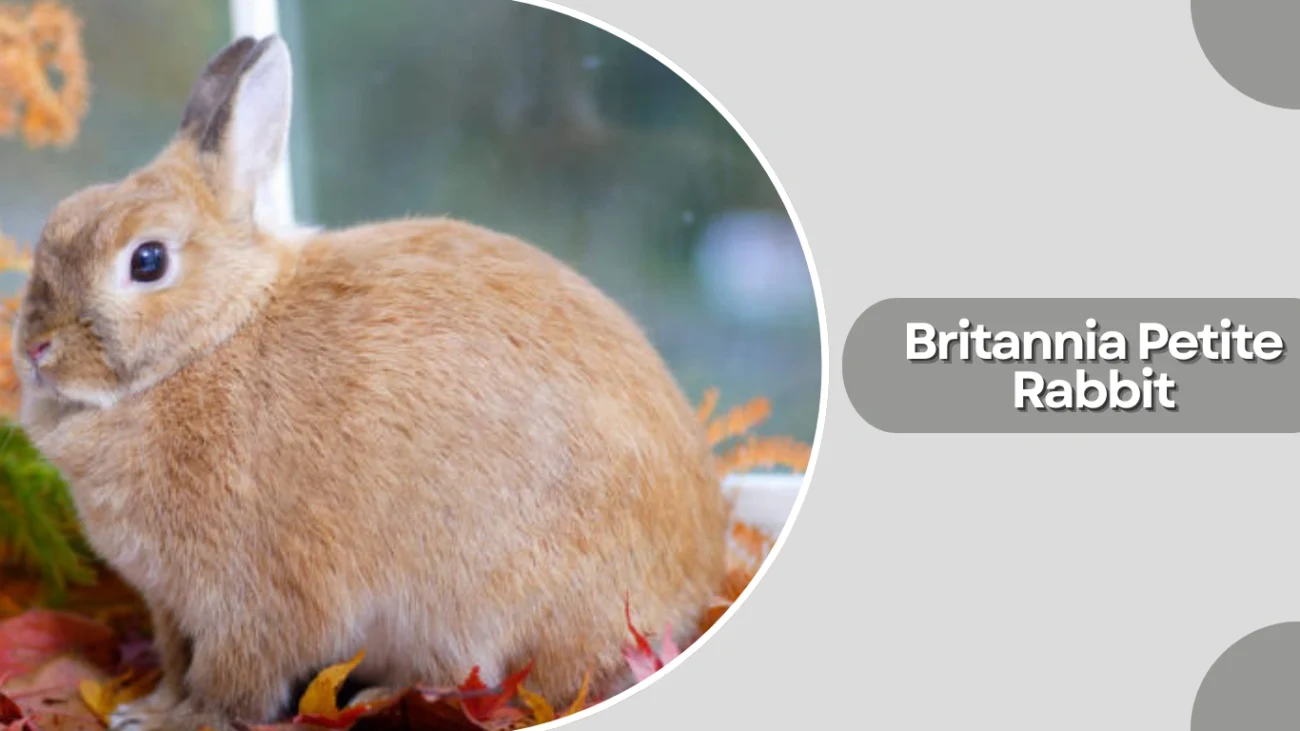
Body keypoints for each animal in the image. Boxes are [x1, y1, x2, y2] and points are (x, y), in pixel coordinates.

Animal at [12, 35, 729, 731]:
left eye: (148, 261)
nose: (36, 349)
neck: (210, 339)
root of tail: (693, 581)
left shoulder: (252, 600)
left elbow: (231, 682)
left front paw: (171, 722)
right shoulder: (169, 607)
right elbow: (174, 662)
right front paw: (147, 707)